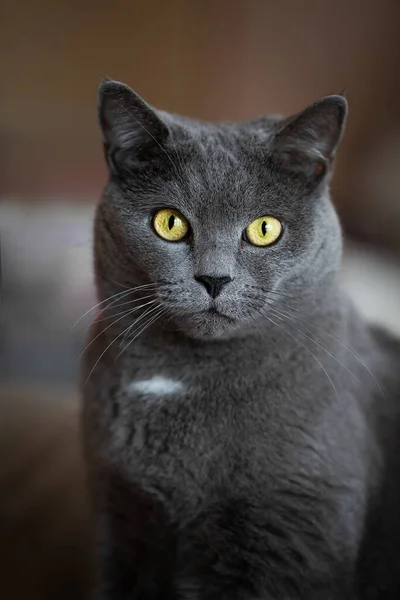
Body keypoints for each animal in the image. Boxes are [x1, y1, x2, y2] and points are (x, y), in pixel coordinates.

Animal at [80, 81, 400, 600]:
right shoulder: (118, 513)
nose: (214, 278)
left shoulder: (288, 530)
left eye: (264, 229)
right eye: (169, 222)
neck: (181, 375)